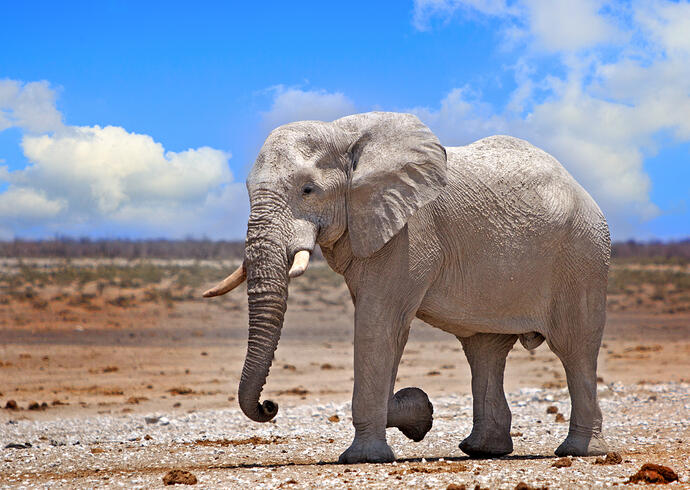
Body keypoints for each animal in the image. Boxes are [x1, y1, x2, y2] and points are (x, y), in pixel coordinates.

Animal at [203, 111, 611, 464]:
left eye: (308, 190)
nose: (270, 406)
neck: (343, 134)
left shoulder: (410, 233)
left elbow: (378, 324)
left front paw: (365, 456)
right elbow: (388, 331)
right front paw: (419, 412)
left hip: (583, 255)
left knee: (574, 347)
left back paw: (579, 451)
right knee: (484, 350)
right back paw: (482, 450)